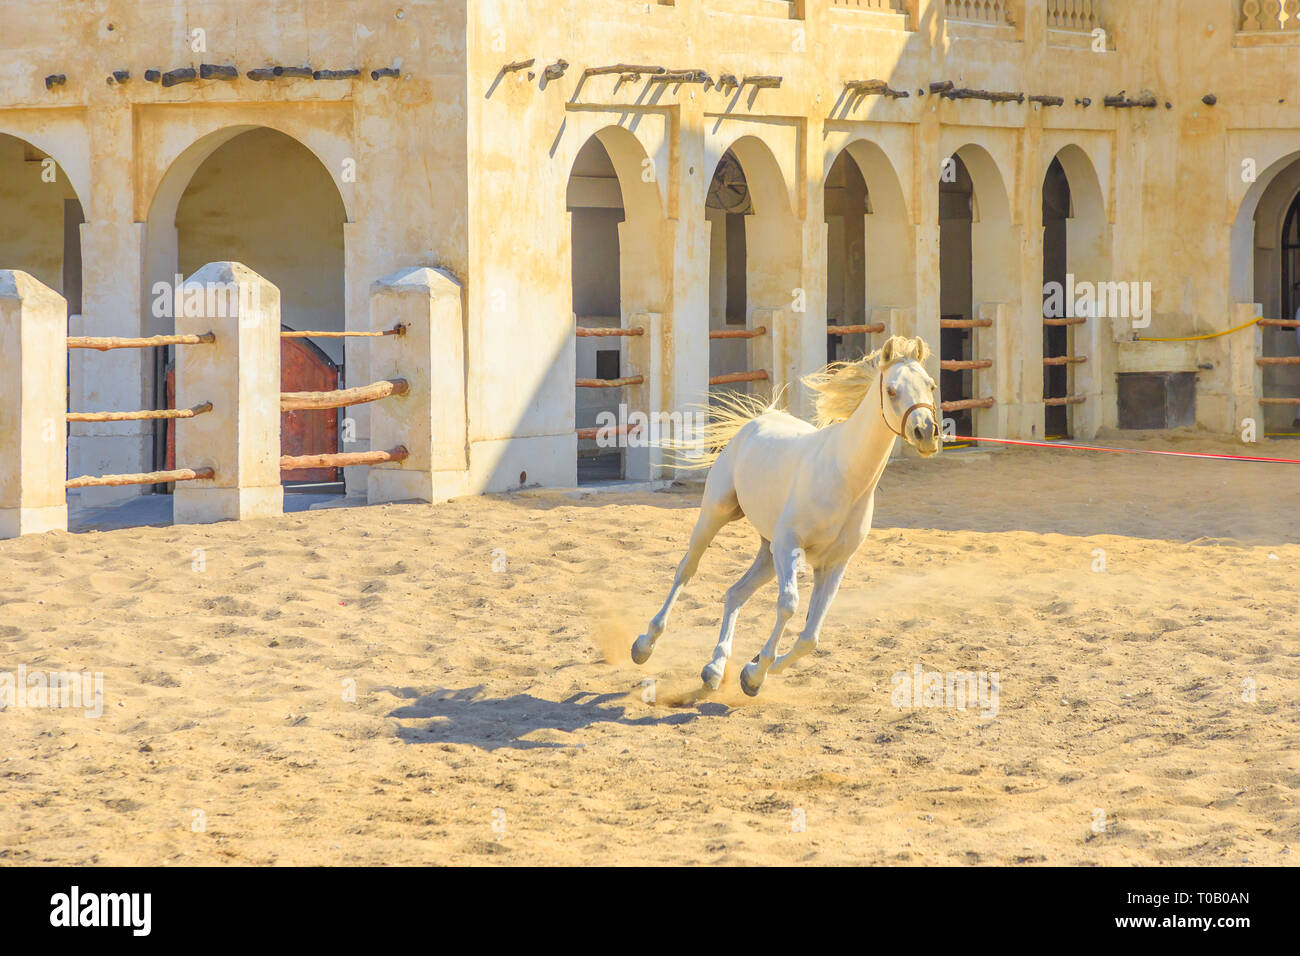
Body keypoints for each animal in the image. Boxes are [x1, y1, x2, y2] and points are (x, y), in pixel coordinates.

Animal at [629, 335, 935, 697]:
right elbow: (788, 604)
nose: (926, 432)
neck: (845, 476)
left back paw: (715, 669)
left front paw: (753, 672)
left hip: (768, 550)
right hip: (717, 514)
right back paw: (645, 644)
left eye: (930, 385)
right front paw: (755, 671)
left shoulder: (834, 564)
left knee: (735, 592)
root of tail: (759, 419)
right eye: (891, 390)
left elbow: (810, 638)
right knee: (686, 571)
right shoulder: (790, 544)